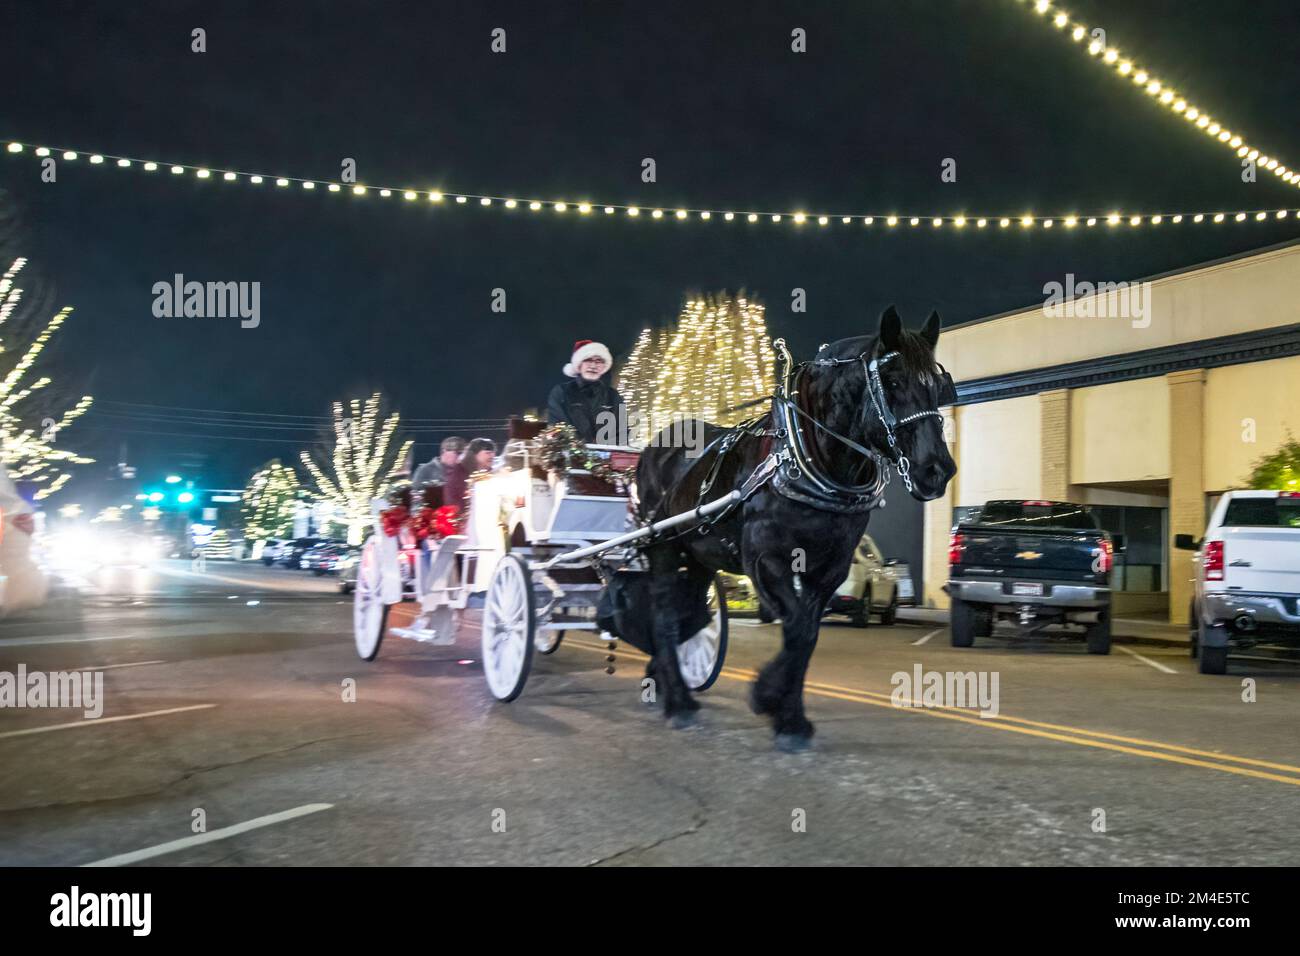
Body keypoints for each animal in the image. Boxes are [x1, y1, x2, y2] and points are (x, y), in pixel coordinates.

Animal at [637, 310, 956, 749]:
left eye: (939, 386)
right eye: (892, 381)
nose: (938, 470)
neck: (807, 455)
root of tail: (655, 445)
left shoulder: (831, 568)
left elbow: (806, 634)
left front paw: (789, 715)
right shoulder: (766, 559)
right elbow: (797, 629)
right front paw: (769, 698)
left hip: (698, 555)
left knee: (687, 612)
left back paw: (663, 678)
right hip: (664, 547)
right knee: (664, 615)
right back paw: (679, 702)